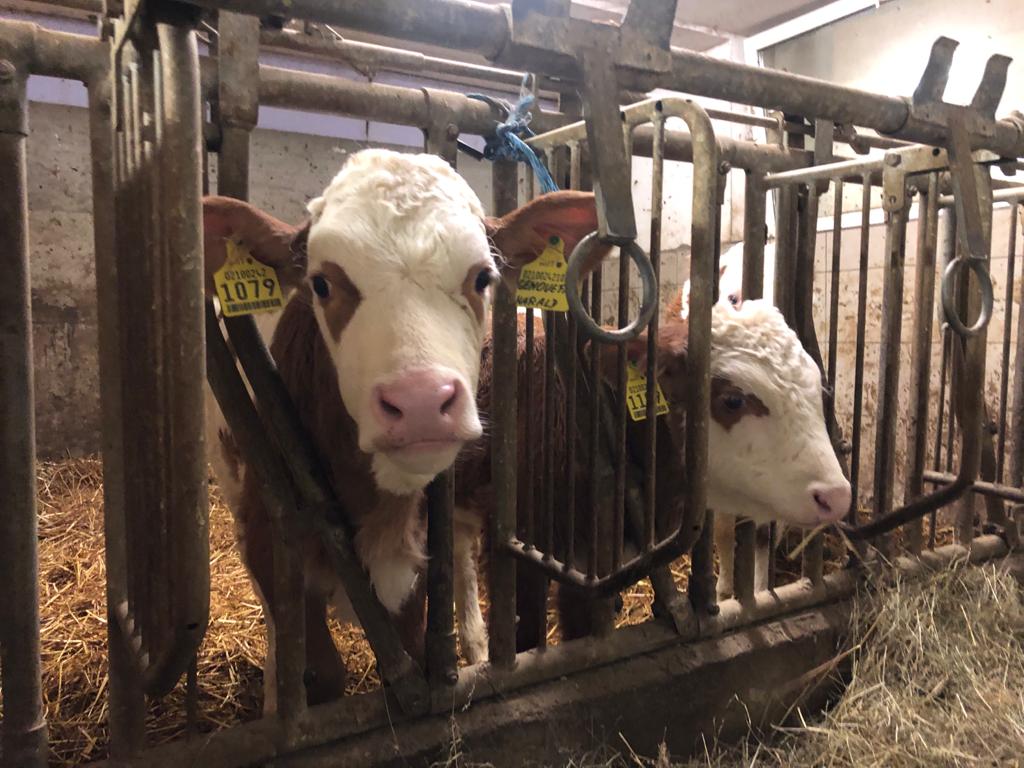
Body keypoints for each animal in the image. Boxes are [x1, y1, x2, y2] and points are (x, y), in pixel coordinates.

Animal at [201, 148, 605, 710]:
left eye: (483, 278)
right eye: (322, 283)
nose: (420, 402)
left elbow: (415, 645)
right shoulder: (267, 534)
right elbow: (318, 667)